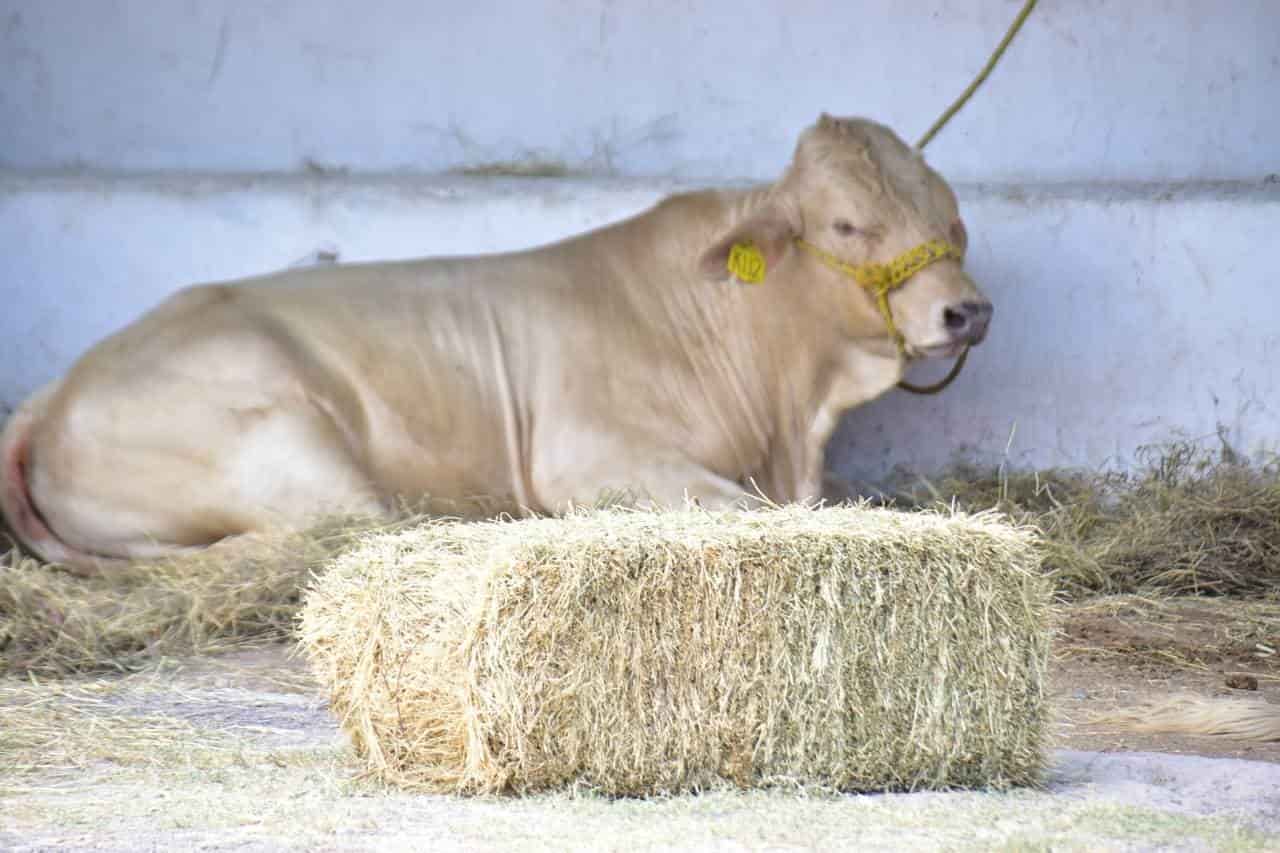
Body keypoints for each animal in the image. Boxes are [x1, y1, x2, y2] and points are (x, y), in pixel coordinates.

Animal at [0, 112, 993, 573]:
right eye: (848, 224)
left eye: (953, 218)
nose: (967, 312)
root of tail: (55, 393)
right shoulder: (591, 458)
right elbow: (751, 512)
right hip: (291, 449)